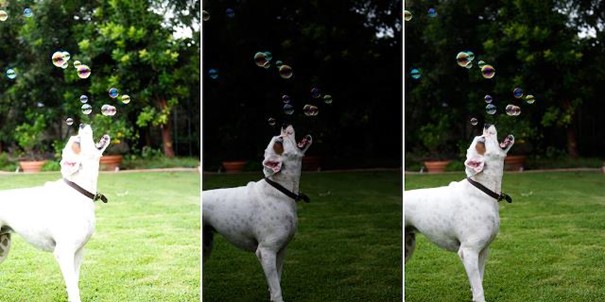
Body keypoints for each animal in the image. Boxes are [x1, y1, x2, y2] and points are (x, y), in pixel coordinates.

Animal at [0, 124, 109, 300]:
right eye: (77, 143)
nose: (82, 125)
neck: (77, 190)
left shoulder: (78, 252)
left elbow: (74, 284)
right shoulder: (64, 253)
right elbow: (73, 288)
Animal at [204, 124, 312, 302]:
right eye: (279, 141)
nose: (285, 126)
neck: (279, 189)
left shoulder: (280, 251)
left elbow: (275, 282)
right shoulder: (266, 252)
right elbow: (276, 290)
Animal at [404, 124, 512, 300]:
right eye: (482, 141)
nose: (486, 125)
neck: (482, 190)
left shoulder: (482, 252)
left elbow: (478, 283)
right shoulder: (469, 252)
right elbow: (479, 290)